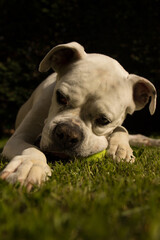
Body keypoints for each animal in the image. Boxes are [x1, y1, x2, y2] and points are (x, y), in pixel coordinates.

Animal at [0, 41, 159, 191]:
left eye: (104, 120)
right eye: (61, 97)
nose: (68, 134)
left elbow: (121, 128)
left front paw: (121, 148)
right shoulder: (18, 137)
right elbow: (31, 148)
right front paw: (30, 166)